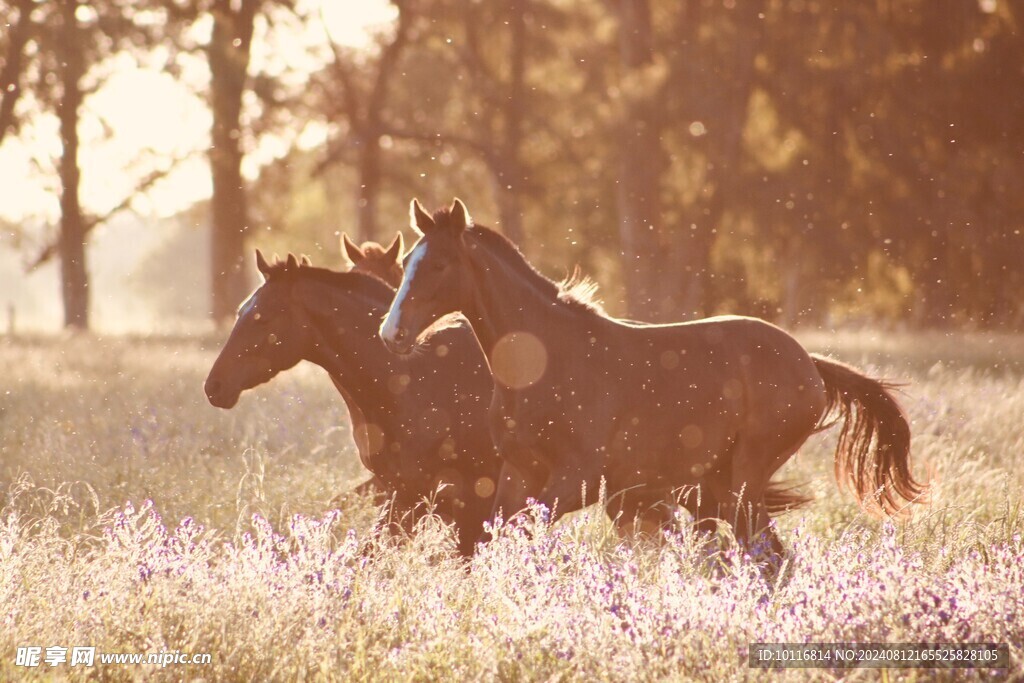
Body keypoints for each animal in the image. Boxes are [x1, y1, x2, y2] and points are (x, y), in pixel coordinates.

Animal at [201, 250, 497, 557]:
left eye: (263, 317)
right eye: (241, 312)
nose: (214, 386)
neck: (417, 379)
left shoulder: (461, 499)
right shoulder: (404, 494)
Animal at [378, 197, 929, 548]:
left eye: (440, 265)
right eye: (407, 263)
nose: (391, 333)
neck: (543, 362)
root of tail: (809, 364)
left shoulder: (579, 480)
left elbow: (518, 534)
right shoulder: (519, 472)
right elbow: (491, 538)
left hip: (745, 479)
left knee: (766, 556)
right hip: (717, 486)